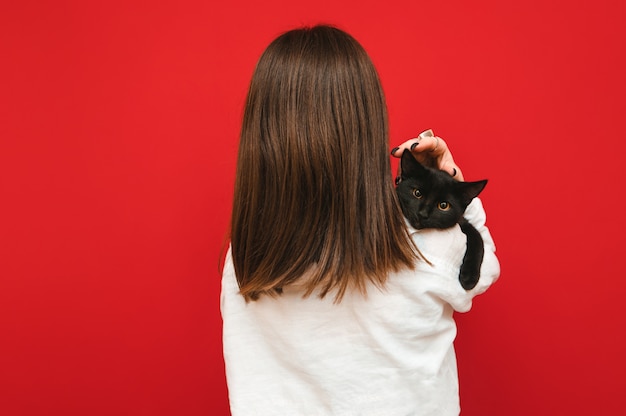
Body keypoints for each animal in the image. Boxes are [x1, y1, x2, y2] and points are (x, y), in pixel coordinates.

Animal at [394, 150, 488, 290]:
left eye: (443, 205)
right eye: (417, 193)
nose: (422, 214)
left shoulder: (463, 223)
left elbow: (478, 239)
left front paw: (469, 277)